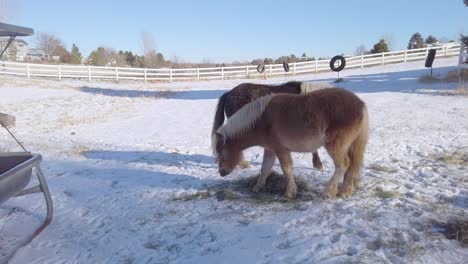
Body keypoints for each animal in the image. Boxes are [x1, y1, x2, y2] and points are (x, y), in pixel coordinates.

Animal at [213, 87, 370, 199]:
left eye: (221, 152)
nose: (221, 172)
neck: (261, 120)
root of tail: (360, 104)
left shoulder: (281, 150)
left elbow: (286, 169)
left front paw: (290, 193)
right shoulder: (270, 150)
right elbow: (265, 168)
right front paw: (257, 187)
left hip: (335, 146)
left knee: (343, 164)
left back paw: (328, 192)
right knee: (351, 165)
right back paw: (345, 192)